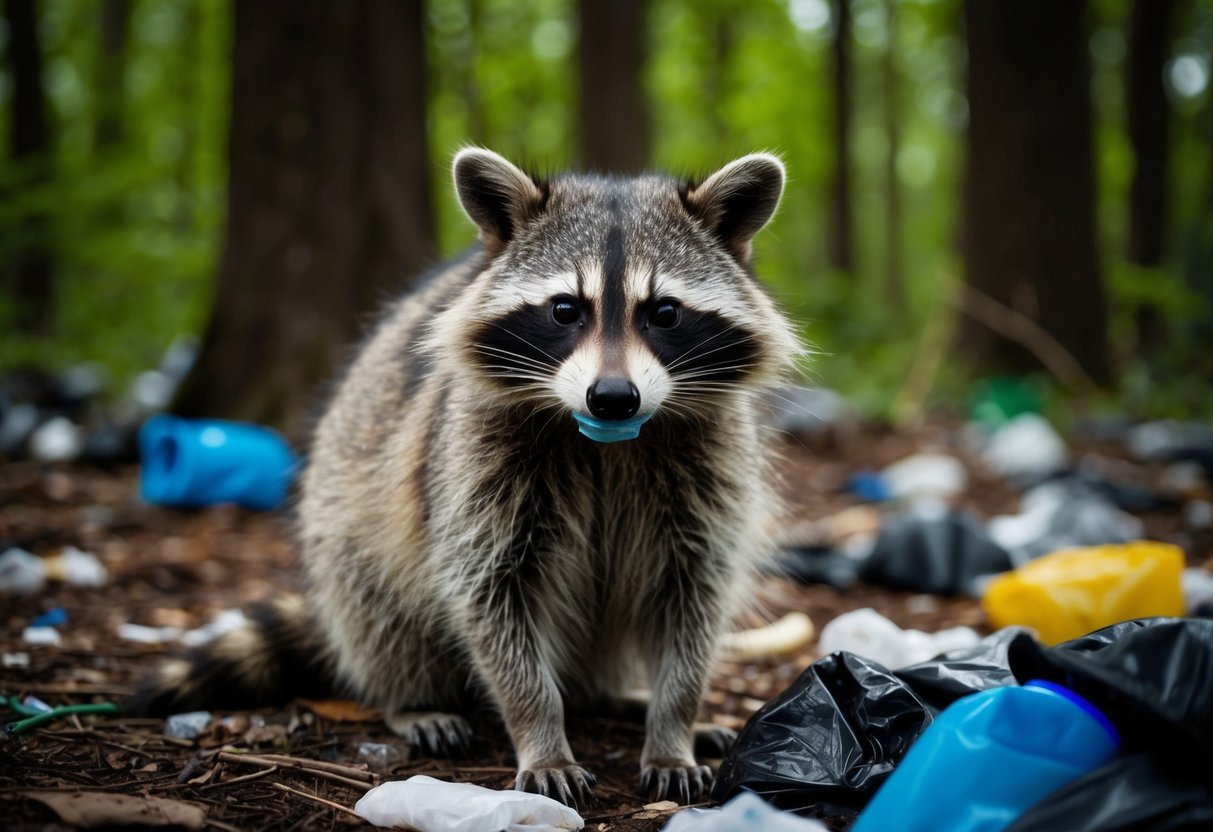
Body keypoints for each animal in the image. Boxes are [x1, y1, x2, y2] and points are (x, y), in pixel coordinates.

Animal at [135, 149, 801, 807]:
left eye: (664, 312)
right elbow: (491, 597)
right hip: (347, 526)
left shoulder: (710, 475)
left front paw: (673, 727)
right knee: (380, 612)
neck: (607, 443)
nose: (613, 397)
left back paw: (621, 697)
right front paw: (540, 732)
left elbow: (694, 602)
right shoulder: (470, 466)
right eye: (565, 309)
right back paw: (412, 699)